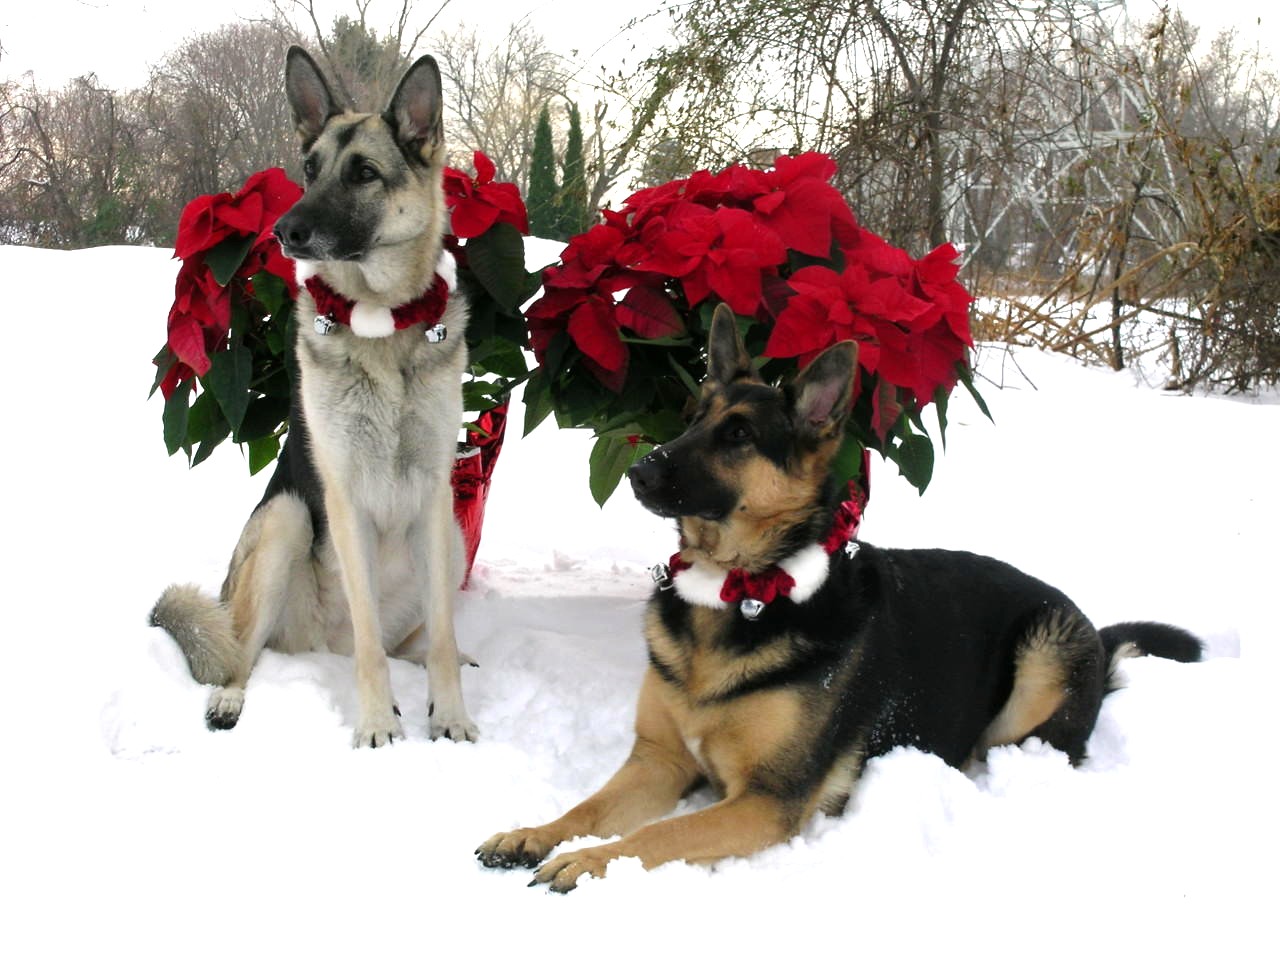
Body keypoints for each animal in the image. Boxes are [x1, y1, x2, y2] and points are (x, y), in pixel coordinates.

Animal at [151, 48, 481, 747]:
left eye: (364, 174)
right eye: (310, 170)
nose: (283, 230)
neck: (381, 325)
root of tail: (320, 648)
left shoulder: (434, 494)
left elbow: (440, 636)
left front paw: (451, 715)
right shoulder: (344, 499)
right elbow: (369, 649)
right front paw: (379, 724)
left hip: (450, 537)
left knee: (411, 639)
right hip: (286, 520)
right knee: (245, 651)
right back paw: (229, 698)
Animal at [478, 304, 1198, 890]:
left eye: (738, 435)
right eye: (691, 420)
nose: (638, 471)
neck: (741, 592)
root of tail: (1095, 631)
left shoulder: (768, 800)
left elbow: (660, 832)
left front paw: (589, 861)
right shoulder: (659, 760)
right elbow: (589, 806)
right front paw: (536, 834)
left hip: (1043, 654)